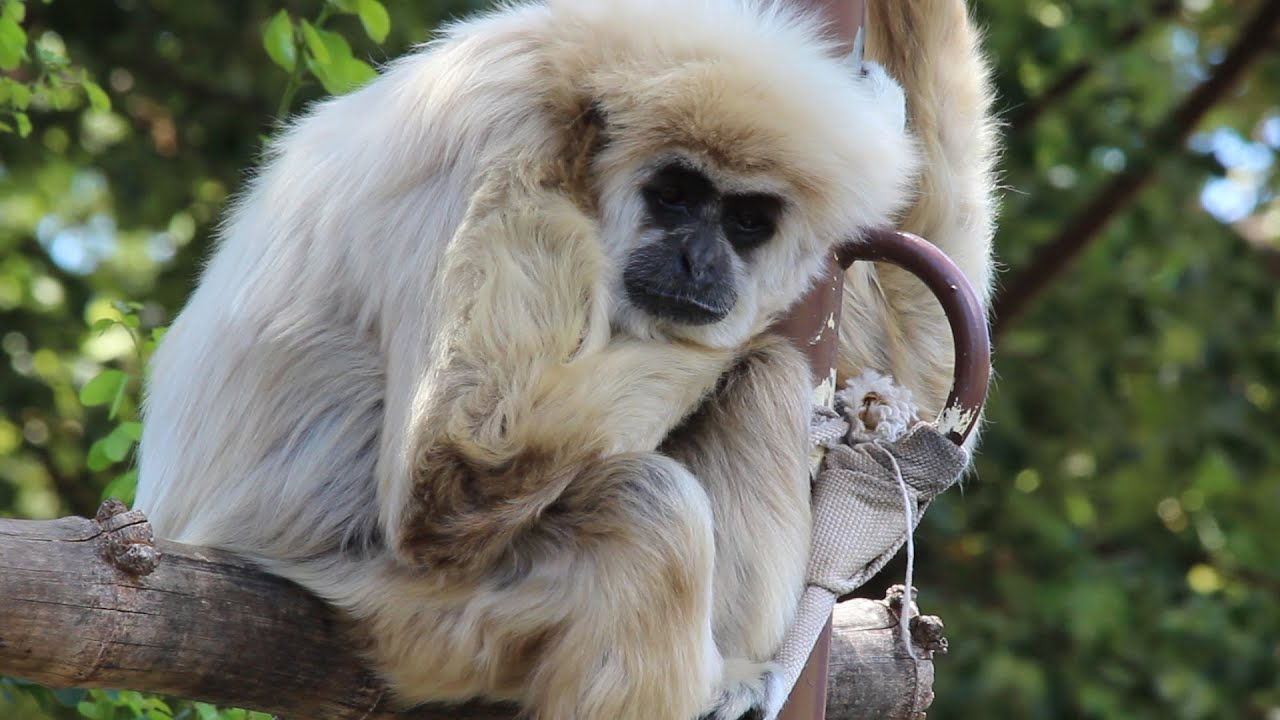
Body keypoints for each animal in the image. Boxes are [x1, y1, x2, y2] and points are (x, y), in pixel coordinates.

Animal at [133, 0, 997, 718]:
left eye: (748, 220)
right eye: (677, 193)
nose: (698, 262)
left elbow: (918, 366)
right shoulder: (507, 149)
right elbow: (464, 461)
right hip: (414, 612)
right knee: (666, 492)